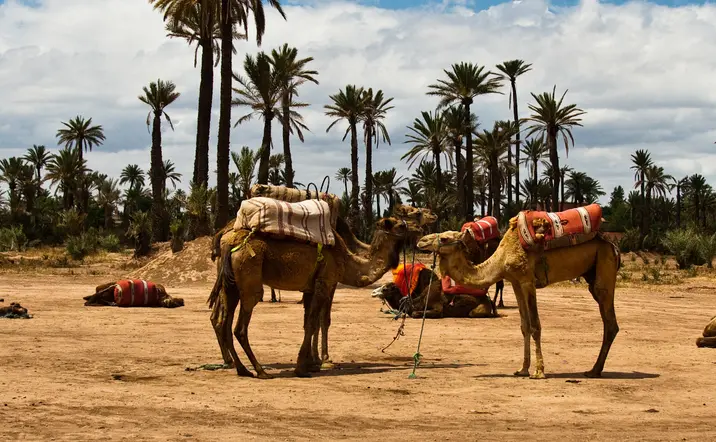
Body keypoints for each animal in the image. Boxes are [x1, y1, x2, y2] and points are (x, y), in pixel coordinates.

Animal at [210, 216, 421, 378]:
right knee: (239, 327)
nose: (418, 229)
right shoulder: (324, 282)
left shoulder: (310, 288)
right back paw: (261, 371)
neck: (346, 260)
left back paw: (242, 369)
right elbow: (314, 322)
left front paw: (311, 362)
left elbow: (308, 323)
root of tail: (229, 242)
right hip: (249, 274)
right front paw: (303, 367)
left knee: (225, 323)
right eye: (401, 225)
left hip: (230, 285)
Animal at [416, 217, 620, 379]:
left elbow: (535, 325)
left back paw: (594, 370)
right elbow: (524, 326)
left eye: (444, 238)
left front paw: (539, 372)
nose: (420, 241)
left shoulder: (527, 281)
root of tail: (613, 245)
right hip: (592, 274)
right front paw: (522, 369)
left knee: (610, 322)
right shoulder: (515, 282)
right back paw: (594, 370)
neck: (501, 259)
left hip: (604, 263)